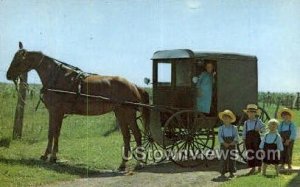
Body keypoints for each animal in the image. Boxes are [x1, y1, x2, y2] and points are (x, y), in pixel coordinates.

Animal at [5, 41, 149, 170]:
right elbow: (55, 133)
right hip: (120, 113)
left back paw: (139, 163)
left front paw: (49, 156)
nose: (8, 75)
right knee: (127, 136)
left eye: (18, 61)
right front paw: (51, 156)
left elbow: (52, 133)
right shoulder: (57, 113)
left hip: (128, 113)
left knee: (136, 135)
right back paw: (123, 164)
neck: (57, 78)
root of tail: (133, 85)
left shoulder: (55, 111)